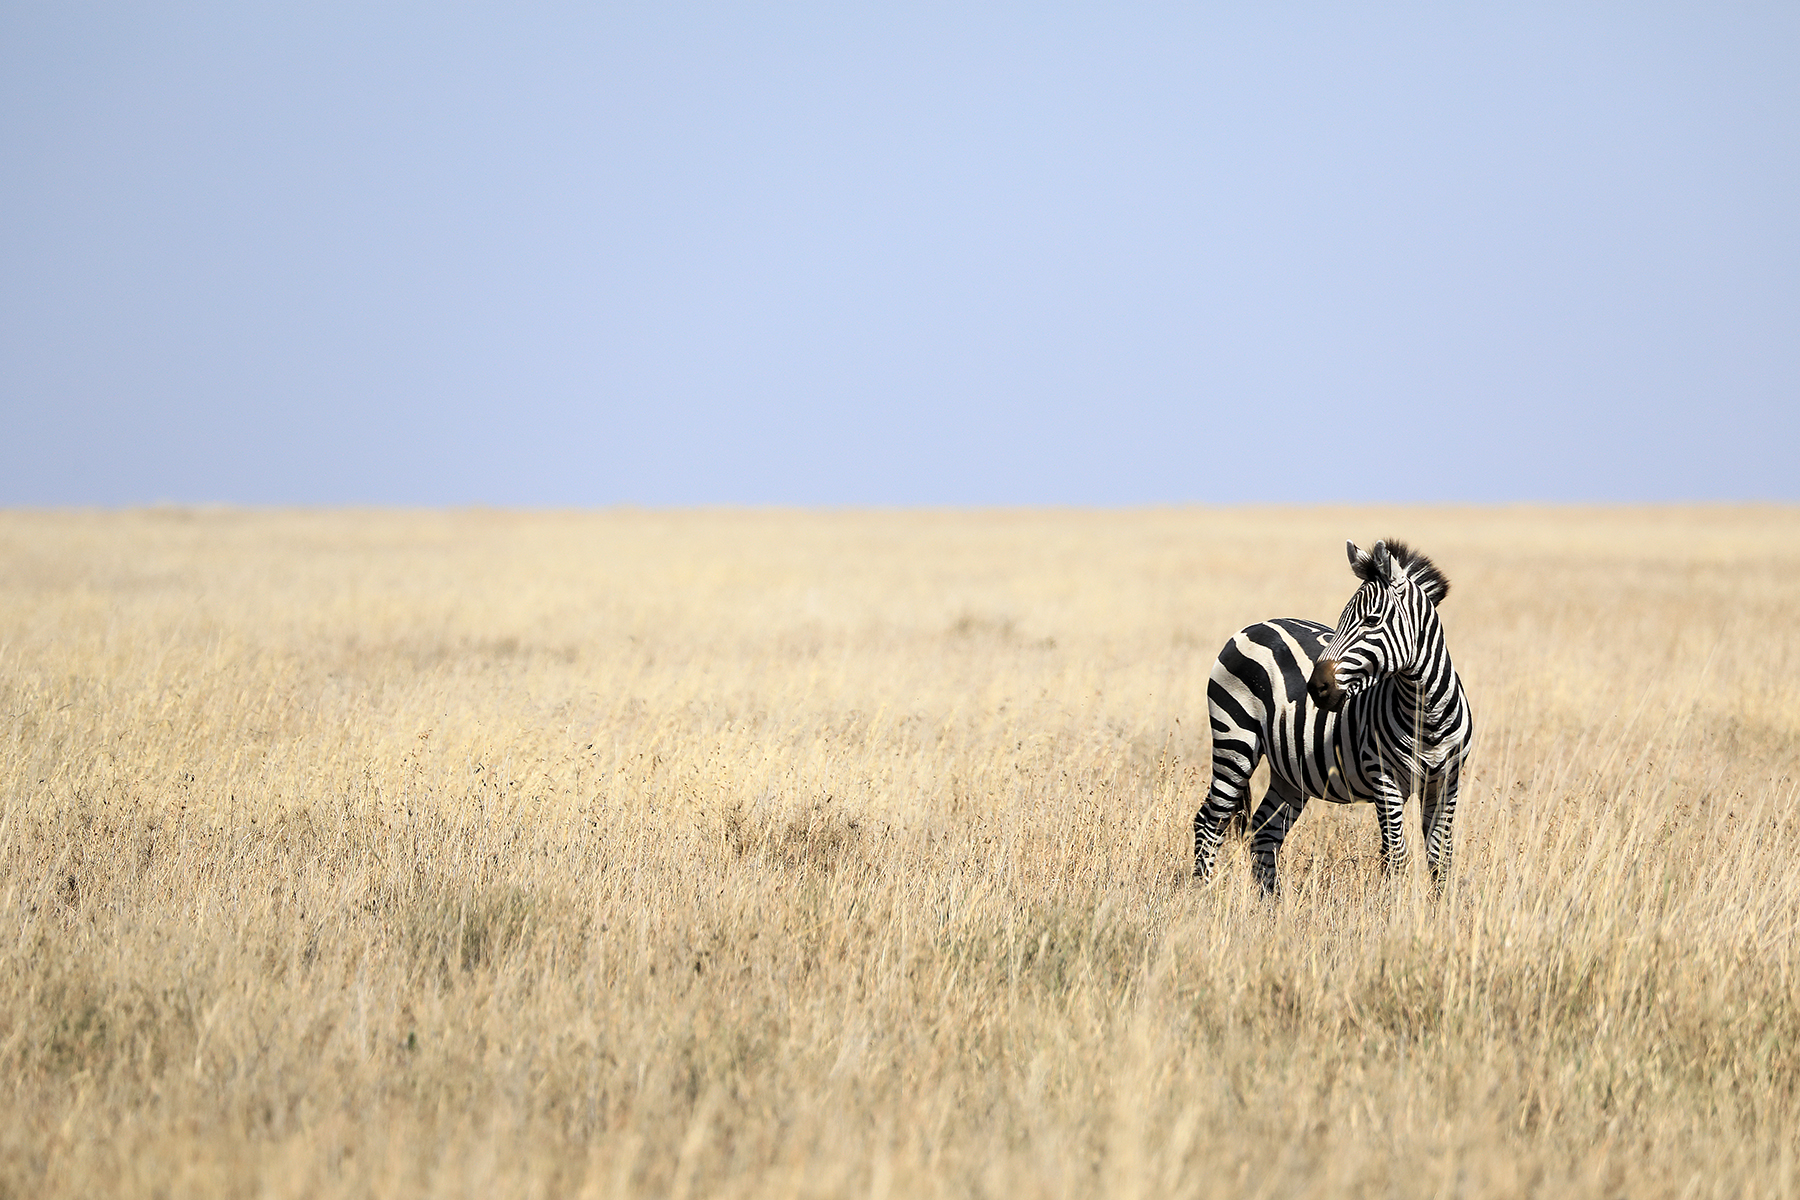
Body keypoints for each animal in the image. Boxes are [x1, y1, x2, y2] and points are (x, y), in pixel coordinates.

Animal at [1192, 539, 1473, 894]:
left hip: (1290, 772)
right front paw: (1393, 907)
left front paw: (1440, 908)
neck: (1428, 715)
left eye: (1372, 620)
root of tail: (1255, 626)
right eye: (1341, 620)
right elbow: (1395, 855)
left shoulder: (1447, 782)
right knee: (1210, 820)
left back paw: (1273, 904)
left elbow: (1440, 859)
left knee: (1264, 832)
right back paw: (1201, 895)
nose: (1314, 687)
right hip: (1234, 742)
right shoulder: (1384, 777)